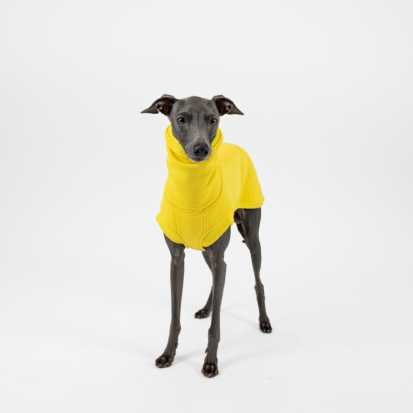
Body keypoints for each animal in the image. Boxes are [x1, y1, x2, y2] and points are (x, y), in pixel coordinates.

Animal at [140, 94, 272, 376]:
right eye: (181, 119)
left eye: (214, 120)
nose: (201, 150)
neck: (193, 190)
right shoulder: (177, 259)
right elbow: (174, 316)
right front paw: (168, 354)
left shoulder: (218, 254)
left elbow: (217, 326)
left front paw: (210, 361)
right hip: (205, 249)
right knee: (215, 276)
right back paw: (207, 308)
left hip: (252, 237)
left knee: (257, 282)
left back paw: (264, 321)